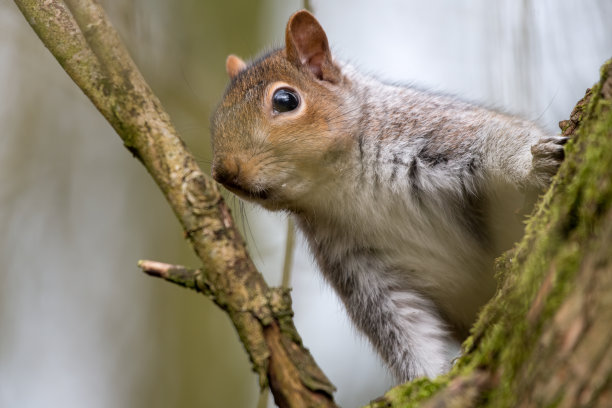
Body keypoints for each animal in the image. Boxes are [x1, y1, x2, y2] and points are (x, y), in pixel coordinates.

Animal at [209, 8, 564, 380]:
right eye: (216, 115)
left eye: (285, 100)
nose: (223, 173)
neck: (345, 185)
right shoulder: (358, 264)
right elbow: (402, 326)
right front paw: (425, 382)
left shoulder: (443, 133)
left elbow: (500, 140)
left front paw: (532, 164)